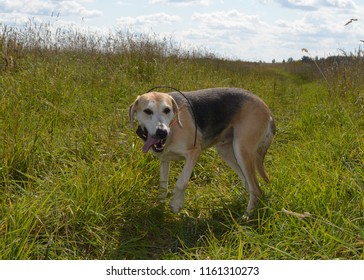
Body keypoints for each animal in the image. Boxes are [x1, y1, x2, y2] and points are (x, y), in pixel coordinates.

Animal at [129, 87, 276, 219]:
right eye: (147, 111)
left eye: (167, 110)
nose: (162, 132)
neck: (173, 127)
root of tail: (267, 109)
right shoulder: (165, 160)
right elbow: (162, 186)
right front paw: (160, 207)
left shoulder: (194, 152)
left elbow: (182, 182)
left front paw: (176, 203)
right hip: (227, 152)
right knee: (247, 184)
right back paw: (238, 203)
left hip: (242, 150)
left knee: (256, 189)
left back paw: (245, 216)